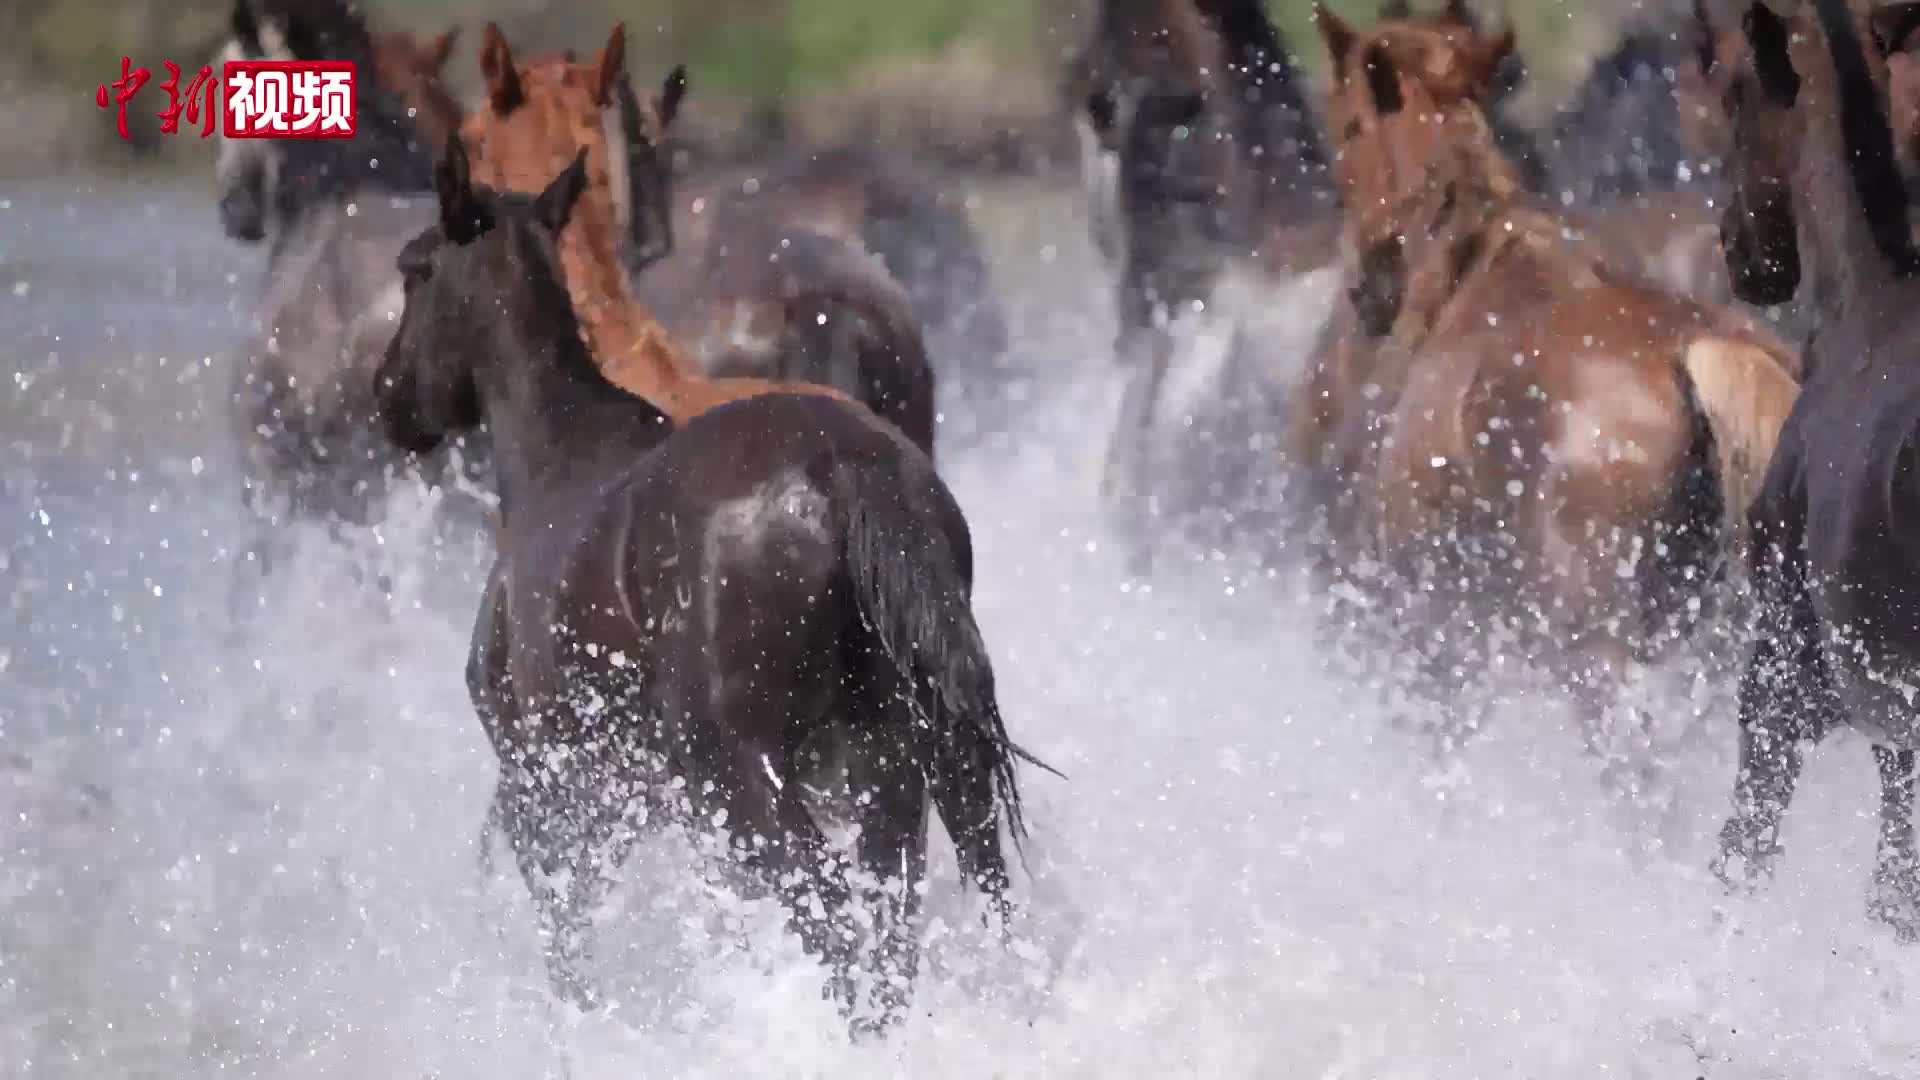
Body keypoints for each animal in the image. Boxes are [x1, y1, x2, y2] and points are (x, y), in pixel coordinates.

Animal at [375, 135, 1046, 1026]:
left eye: (414, 270)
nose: (387, 398)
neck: (557, 454)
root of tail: (847, 472)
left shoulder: (551, 792)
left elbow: (566, 942)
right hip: (893, 770)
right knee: (889, 935)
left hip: (745, 784)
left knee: (836, 931)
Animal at [1296, 5, 1801, 770]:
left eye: (1348, 128)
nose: (1365, 289)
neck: (1470, 270)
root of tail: (1697, 353)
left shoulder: (1435, 642)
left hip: (1594, 655)